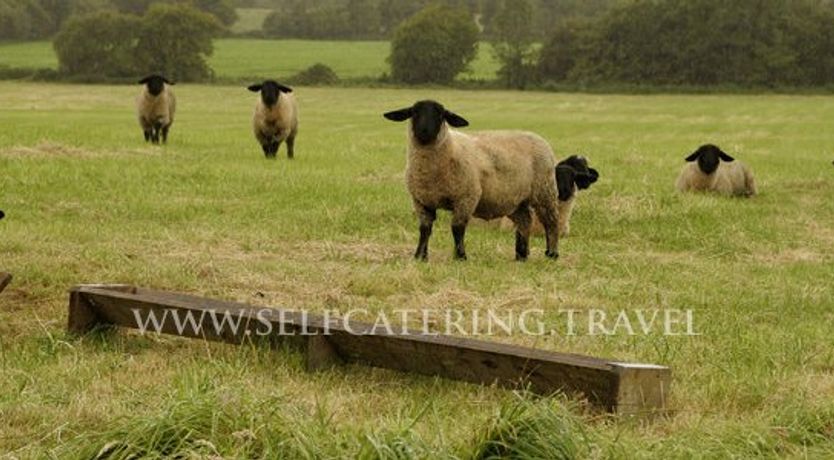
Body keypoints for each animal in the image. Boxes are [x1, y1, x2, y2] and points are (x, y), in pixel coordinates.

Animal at [384, 100, 560, 262]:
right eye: (414, 113)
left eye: (441, 115)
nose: (425, 131)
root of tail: (537, 137)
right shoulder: (421, 201)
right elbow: (424, 229)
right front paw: (420, 256)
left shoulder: (466, 197)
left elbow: (457, 228)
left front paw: (460, 256)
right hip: (515, 200)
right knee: (525, 222)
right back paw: (521, 256)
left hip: (545, 191)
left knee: (551, 222)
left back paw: (552, 254)